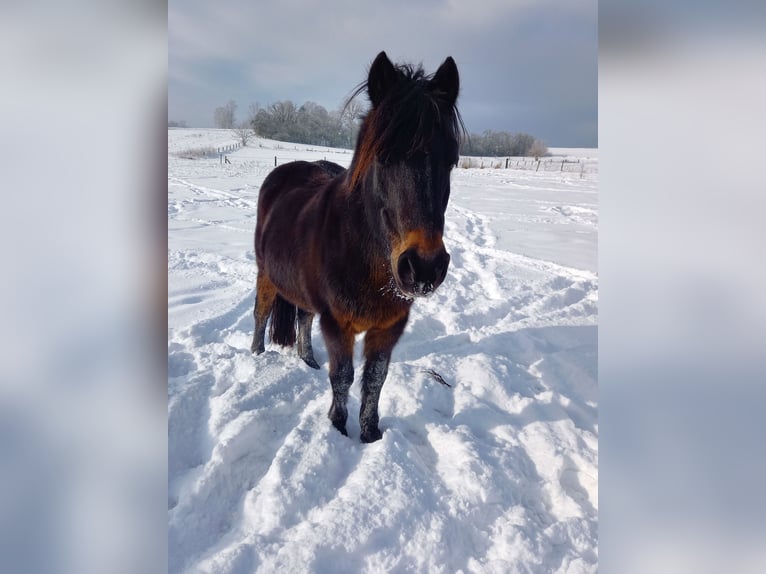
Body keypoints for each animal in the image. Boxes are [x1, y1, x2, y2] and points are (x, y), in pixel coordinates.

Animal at [252, 51, 462, 444]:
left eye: (452, 160)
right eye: (383, 156)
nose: (424, 267)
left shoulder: (389, 327)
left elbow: (374, 379)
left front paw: (371, 434)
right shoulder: (338, 324)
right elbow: (343, 377)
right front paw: (337, 428)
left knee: (303, 318)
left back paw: (308, 360)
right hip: (264, 272)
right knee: (261, 314)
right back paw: (255, 357)